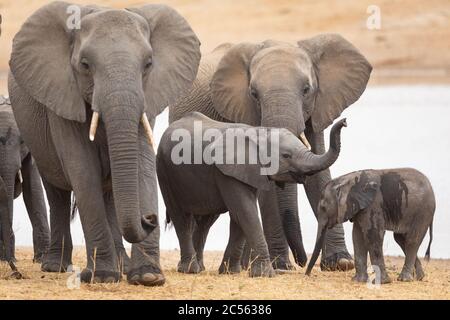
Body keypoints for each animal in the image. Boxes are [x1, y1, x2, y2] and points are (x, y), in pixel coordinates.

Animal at [7, 0, 200, 284]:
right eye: (85, 65)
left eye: (148, 64)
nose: (150, 217)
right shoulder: (63, 96)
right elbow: (83, 171)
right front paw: (103, 277)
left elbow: (142, 165)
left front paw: (148, 277)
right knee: (58, 192)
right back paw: (56, 266)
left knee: (109, 194)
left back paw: (123, 266)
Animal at [156, 112, 346, 276]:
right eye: (286, 155)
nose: (344, 121)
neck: (259, 133)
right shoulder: (227, 172)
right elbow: (245, 211)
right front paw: (264, 275)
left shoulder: (248, 171)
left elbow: (239, 216)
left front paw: (230, 272)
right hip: (164, 170)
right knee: (180, 217)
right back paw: (190, 269)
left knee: (205, 222)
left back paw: (200, 267)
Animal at [170, 34, 372, 270]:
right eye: (254, 94)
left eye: (307, 89)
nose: (302, 261)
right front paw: (281, 266)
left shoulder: (319, 108)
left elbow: (320, 176)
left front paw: (341, 262)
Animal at [306, 169, 436, 284]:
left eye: (323, 207)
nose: (307, 274)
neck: (347, 181)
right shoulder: (360, 207)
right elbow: (357, 237)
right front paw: (358, 281)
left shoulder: (373, 205)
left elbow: (373, 235)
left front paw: (382, 282)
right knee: (400, 239)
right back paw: (419, 278)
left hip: (423, 211)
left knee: (411, 240)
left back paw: (404, 279)